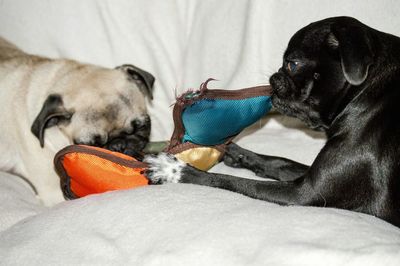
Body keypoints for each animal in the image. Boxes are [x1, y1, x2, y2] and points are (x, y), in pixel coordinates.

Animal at [146, 16, 400, 227]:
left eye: (292, 64)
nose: (274, 77)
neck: (365, 92)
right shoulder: (302, 177)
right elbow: (278, 162)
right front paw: (235, 151)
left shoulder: (303, 193)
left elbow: (228, 181)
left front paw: (175, 170)